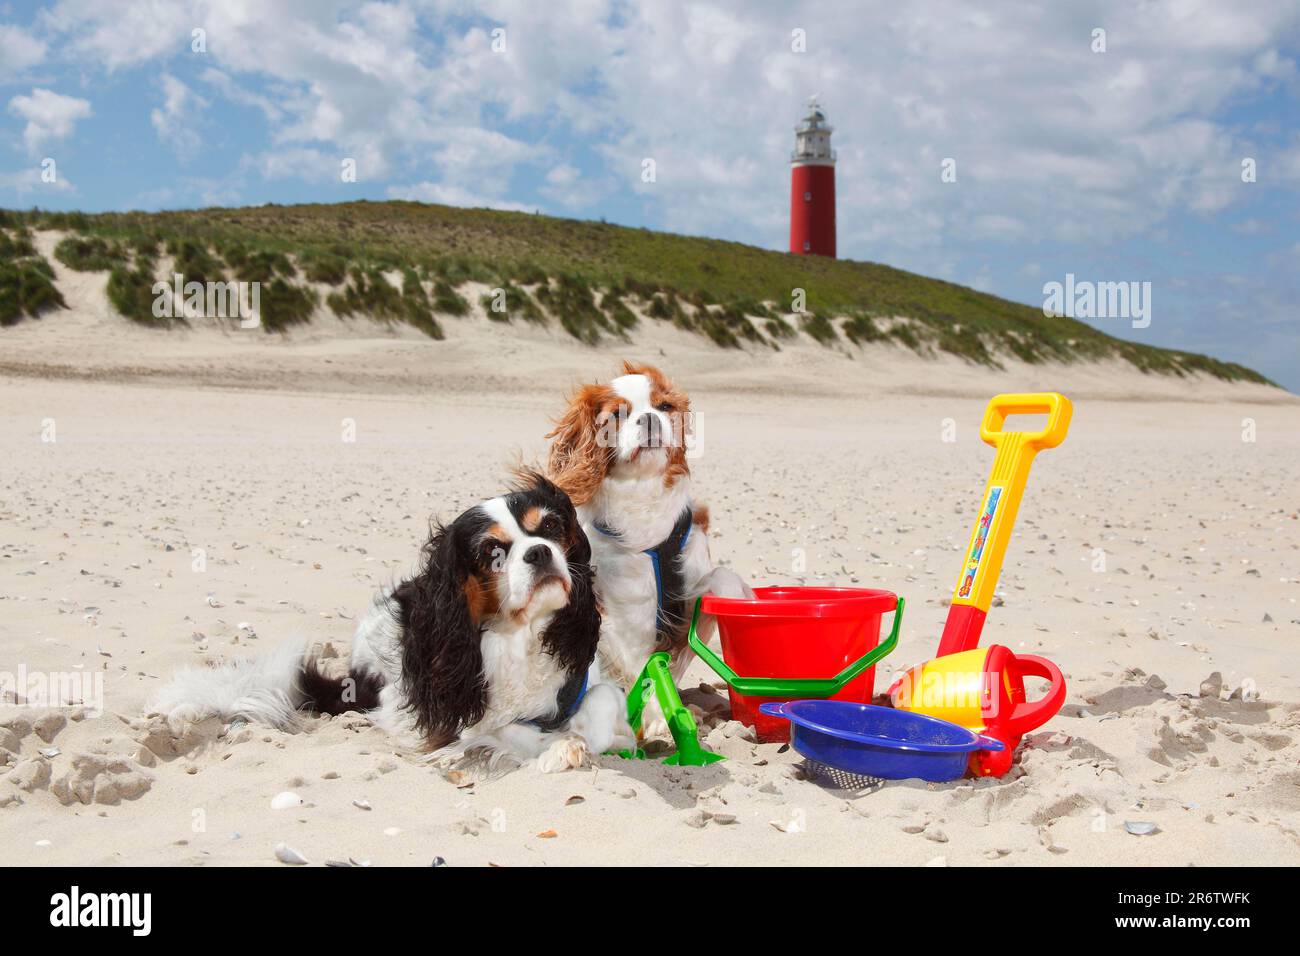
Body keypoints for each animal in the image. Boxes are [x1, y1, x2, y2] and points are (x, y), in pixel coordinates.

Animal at [152, 476, 634, 775]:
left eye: (551, 527)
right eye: (491, 553)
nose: (539, 553)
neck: (522, 635)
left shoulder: (583, 679)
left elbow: (604, 700)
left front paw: (598, 735)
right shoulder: (453, 718)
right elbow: (503, 730)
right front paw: (559, 748)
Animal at [546, 358, 754, 723]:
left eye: (665, 407)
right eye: (617, 414)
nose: (650, 419)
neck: (642, 495)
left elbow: (722, 576)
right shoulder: (625, 619)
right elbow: (645, 669)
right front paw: (659, 719)